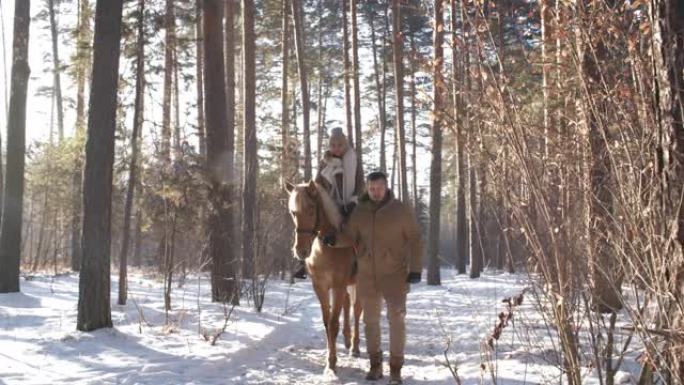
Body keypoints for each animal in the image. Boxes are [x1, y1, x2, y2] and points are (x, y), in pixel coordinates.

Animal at [284, 180, 364, 372]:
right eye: (293, 212)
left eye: (312, 209)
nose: (301, 251)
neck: (327, 248)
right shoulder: (320, 287)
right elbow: (327, 322)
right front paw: (330, 357)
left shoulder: (337, 286)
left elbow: (334, 323)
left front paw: (332, 362)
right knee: (347, 306)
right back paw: (347, 340)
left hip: (357, 283)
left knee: (356, 310)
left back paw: (355, 346)